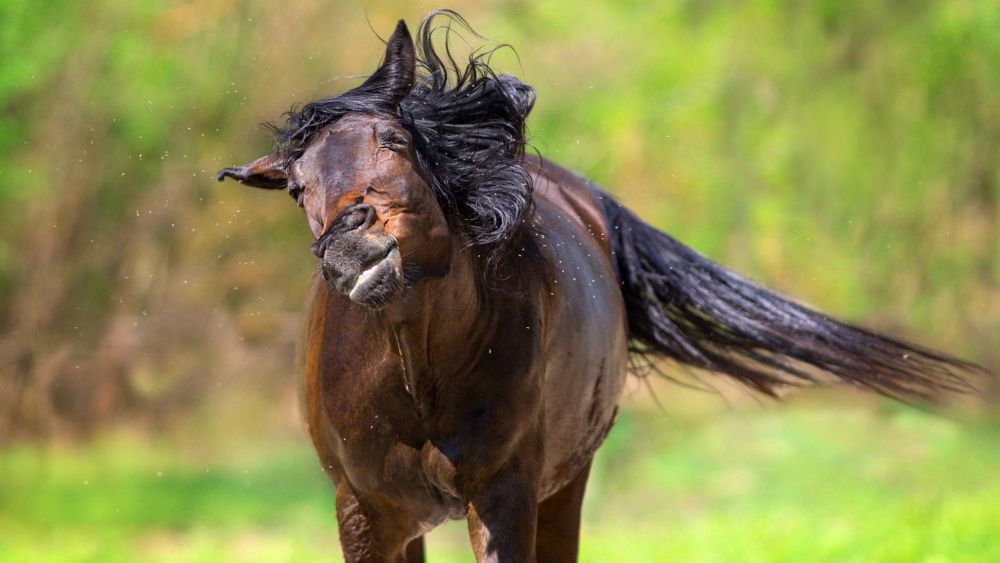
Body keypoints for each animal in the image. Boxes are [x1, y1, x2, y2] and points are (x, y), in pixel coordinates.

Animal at [217, 12, 981, 563]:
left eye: (395, 141)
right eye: (297, 187)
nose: (352, 245)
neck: (417, 376)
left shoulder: (506, 497)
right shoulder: (366, 514)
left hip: (564, 486)